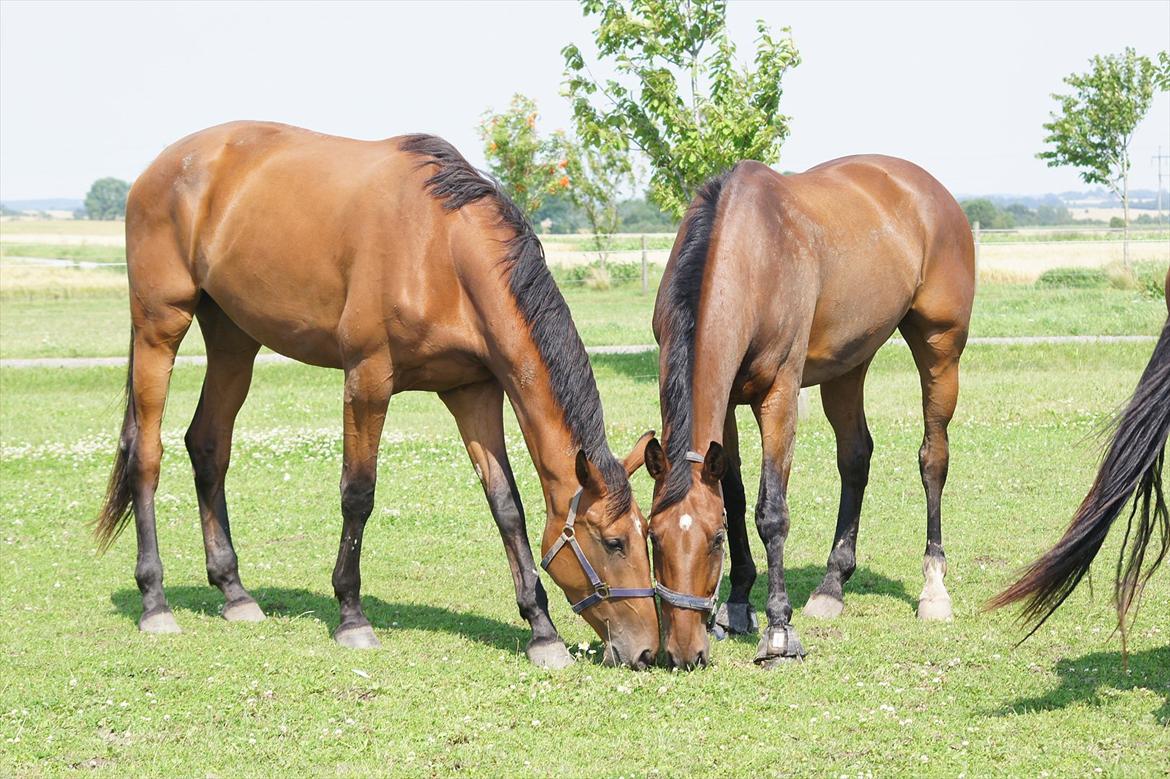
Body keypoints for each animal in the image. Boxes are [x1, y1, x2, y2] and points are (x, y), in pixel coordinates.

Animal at [93, 121, 659, 669]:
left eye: (646, 533)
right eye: (613, 542)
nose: (649, 651)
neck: (441, 246)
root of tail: (159, 169)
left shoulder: (472, 391)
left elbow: (506, 505)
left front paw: (542, 631)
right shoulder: (367, 380)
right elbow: (358, 494)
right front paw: (352, 616)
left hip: (233, 338)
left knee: (209, 445)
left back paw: (235, 593)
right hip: (159, 328)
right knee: (146, 453)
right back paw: (155, 602)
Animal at [645, 157, 973, 669]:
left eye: (713, 539)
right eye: (653, 537)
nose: (684, 651)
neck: (751, 254)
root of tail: (931, 190)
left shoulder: (778, 393)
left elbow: (771, 511)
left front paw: (779, 631)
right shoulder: (727, 403)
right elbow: (735, 495)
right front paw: (737, 605)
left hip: (941, 349)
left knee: (933, 458)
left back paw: (933, 588)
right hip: (849, 364)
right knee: (855, 458)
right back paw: (832, 585)